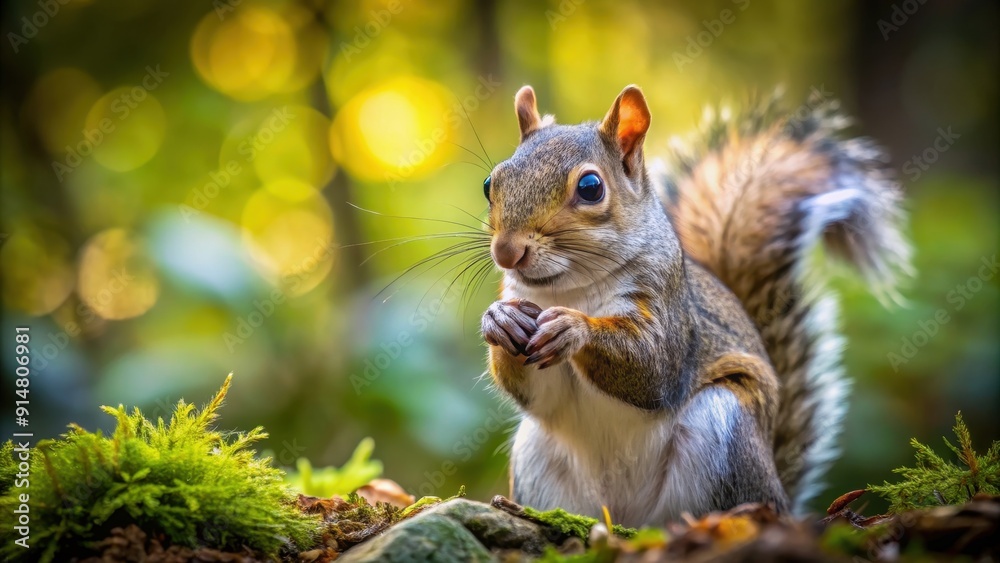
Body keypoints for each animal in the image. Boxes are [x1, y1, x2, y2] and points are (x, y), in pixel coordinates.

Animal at [479, 84, 911, 527]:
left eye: (590, 187)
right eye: (490, 182)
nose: (507, 251)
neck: (570, 290)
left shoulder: (670, 311)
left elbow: (652, 367)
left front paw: (574, 328)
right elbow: (538, 394)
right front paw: (499, 320)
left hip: (724, 429)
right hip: (538, 457)